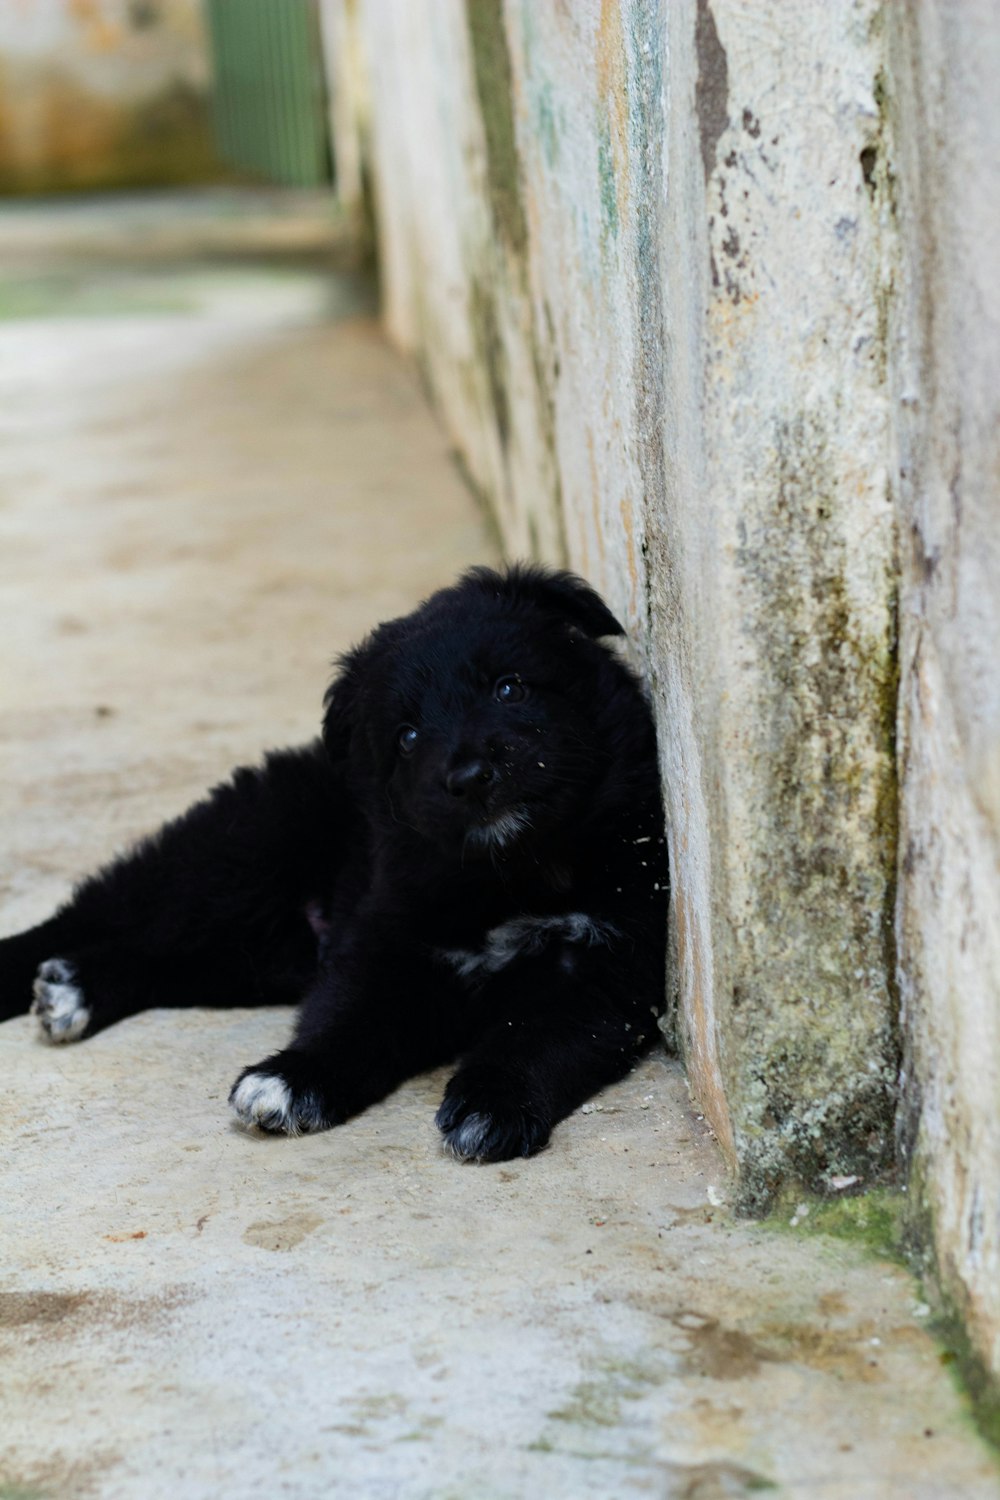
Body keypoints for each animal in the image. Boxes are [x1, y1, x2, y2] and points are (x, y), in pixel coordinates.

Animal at [1, 564, 671, 1158]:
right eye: (407, 736)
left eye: (510, 688)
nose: (469, 777)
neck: (511, 874)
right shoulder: (387, 942)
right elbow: (349, 1019)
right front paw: (291, 1079)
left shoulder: (601, 969)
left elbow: (534, 1039)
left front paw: (493, 1103)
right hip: (228, 863)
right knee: (97, 916)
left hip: (261, 950)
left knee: (163, 960)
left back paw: (76, 988)